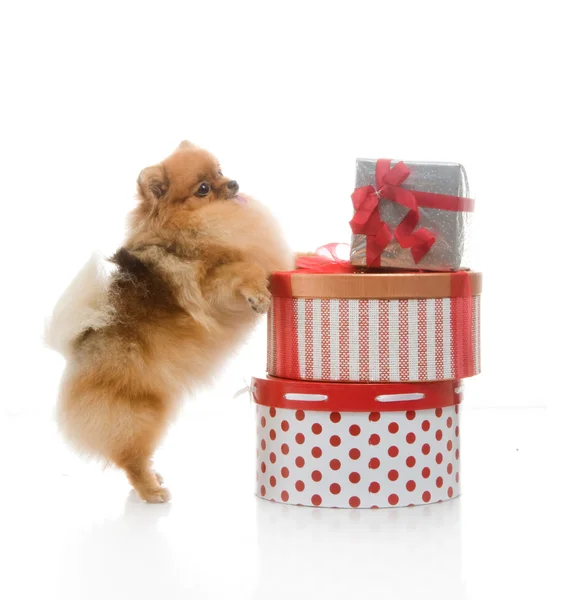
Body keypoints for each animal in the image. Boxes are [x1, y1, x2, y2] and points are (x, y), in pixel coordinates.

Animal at [46, 141, 294, 502]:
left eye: (220, 171)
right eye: (202, 189)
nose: (233, 183)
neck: (199, 225)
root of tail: (76, 349)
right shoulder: (212, 289)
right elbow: (242, 268)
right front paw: (258, 296)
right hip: (140, 415)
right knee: (131, 459)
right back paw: (151, 491)